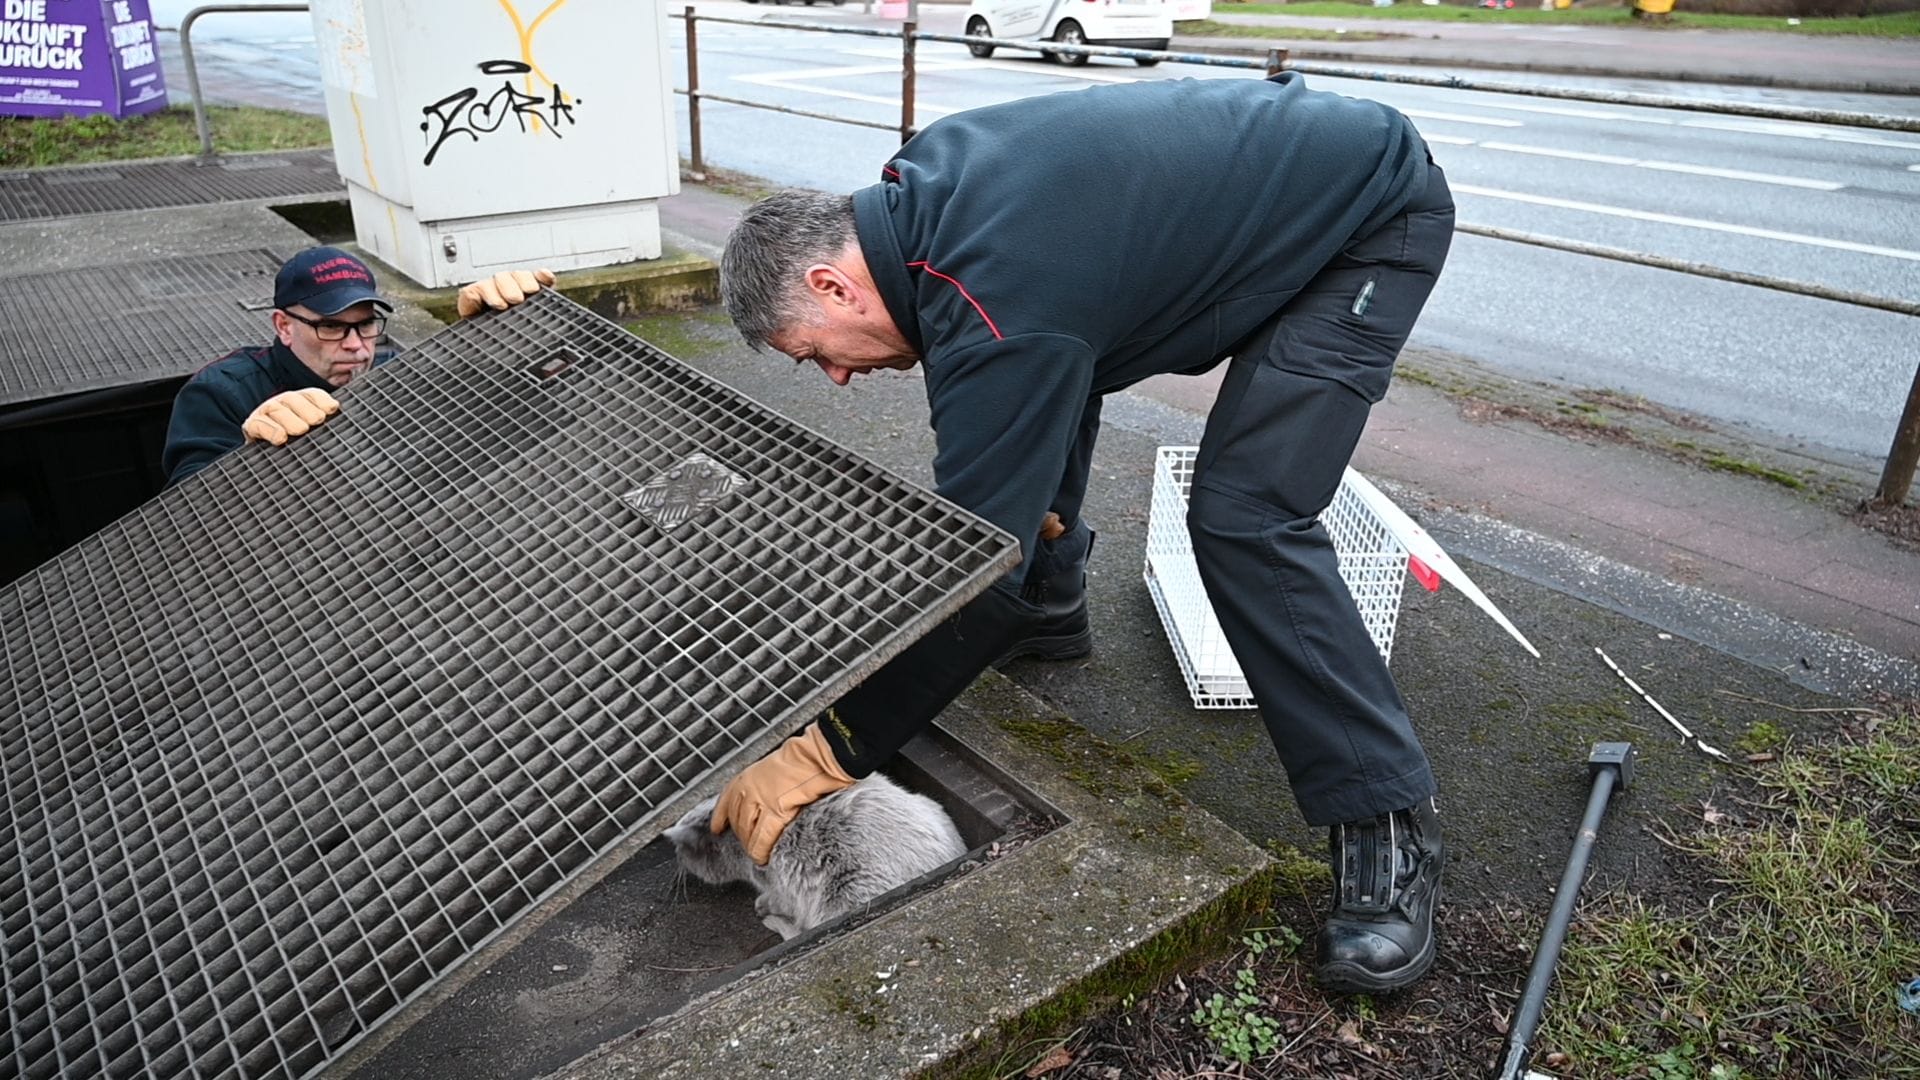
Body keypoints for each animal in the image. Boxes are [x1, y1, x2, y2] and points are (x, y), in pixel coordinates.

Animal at [664, 768, 967, 937]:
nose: (675, 858)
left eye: (680, 851)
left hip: (845, 895)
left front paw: (763, 906)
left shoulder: (781, 882)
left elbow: (778, 900)